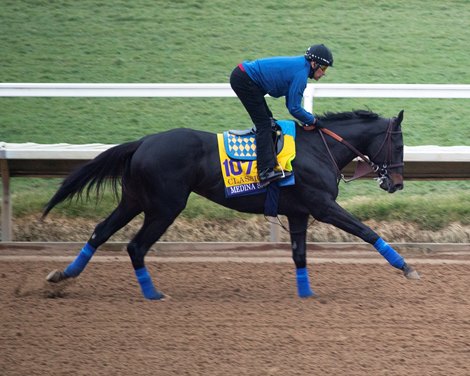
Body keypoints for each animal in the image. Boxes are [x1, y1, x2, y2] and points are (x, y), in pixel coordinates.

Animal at [43, 108, 418, 300]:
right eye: (399, 144)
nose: (397, 183)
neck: (317, 149)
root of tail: (143, 142)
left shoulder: (298, 212)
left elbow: (299, 254)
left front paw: (306, 294)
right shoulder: (322, 207)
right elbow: (367, 231)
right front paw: (406, 267)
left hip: (134, 199)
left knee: (100, 232)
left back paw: (63, 275)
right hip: (165, 206)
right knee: (136, 246)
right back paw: (153, 295)